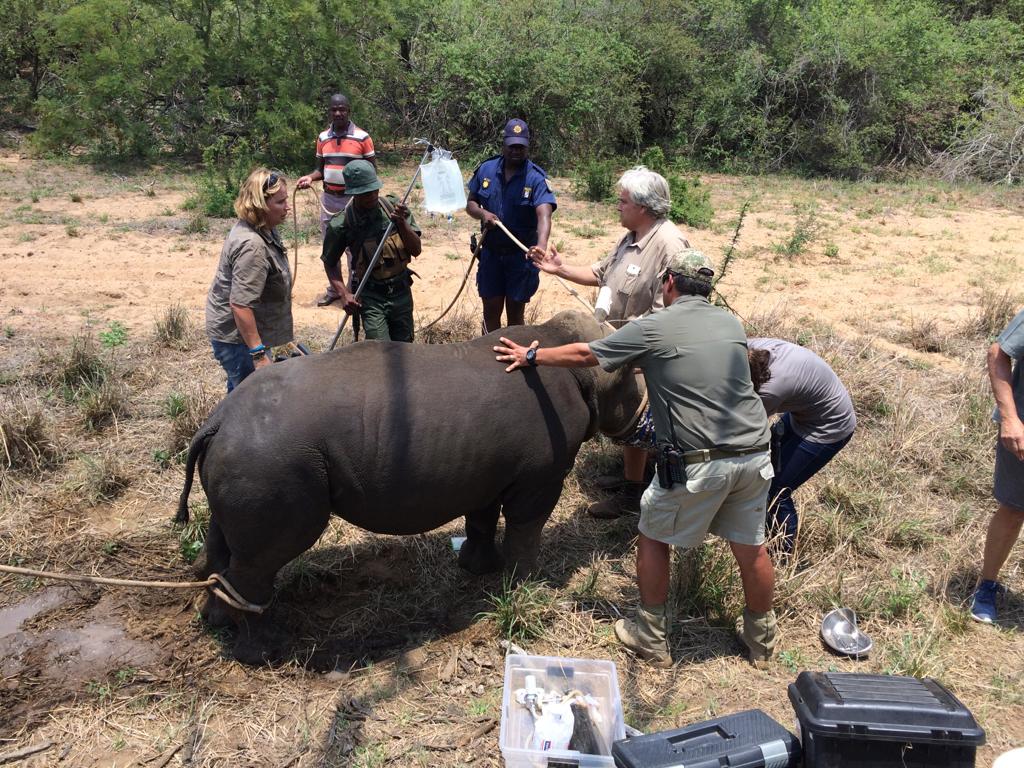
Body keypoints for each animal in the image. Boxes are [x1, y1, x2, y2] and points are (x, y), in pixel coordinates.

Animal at [175, 311, 645, 627]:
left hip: (245, 453)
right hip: (270, 458)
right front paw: (530, 585)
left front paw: (478, 569)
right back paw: (250, 638)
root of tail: (217, 421)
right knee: (272, 547)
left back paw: (216, 613)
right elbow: (527, 526)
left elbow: (481, 515)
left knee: (228, 533)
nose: (643, 421)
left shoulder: (486, 466)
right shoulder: (540, 474)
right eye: (634, 388)